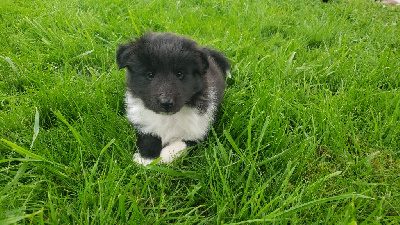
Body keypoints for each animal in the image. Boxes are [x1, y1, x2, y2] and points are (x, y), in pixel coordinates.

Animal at [115, 31, 230, 165]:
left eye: (180, 74)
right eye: (150, 74)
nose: (166, 103)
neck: (168, 118)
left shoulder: (198, 131)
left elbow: (180, 145)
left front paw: (162, 157)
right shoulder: (144, 124)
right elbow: (149, 138)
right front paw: (146, 159)